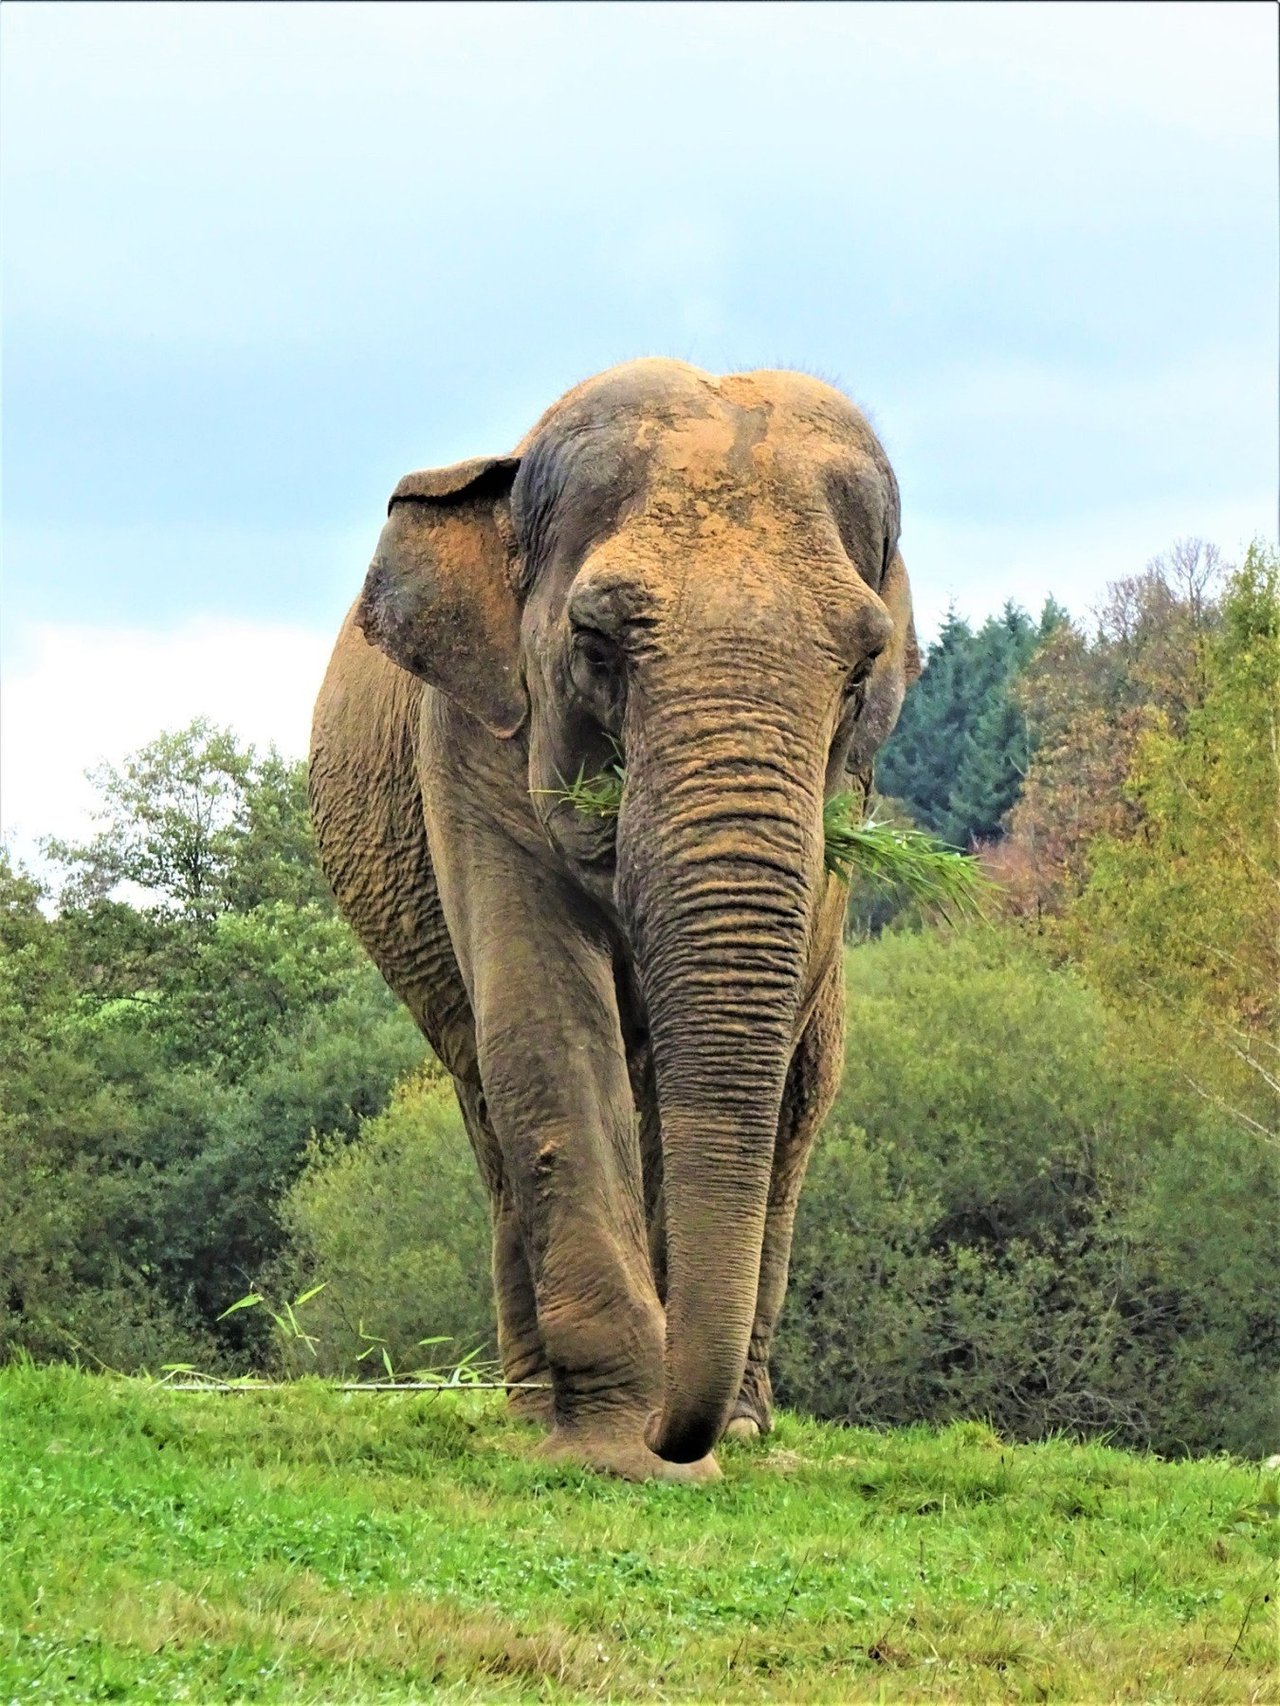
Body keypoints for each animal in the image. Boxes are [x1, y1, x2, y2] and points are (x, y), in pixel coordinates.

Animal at [317, 359, 928, 1480]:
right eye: (594, 641)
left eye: (864, 663)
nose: (677, 1436)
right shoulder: (466, 738)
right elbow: (547, 1024)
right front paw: (619, 1453)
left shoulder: (839, 806)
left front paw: (687, 1440)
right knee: (489, 1093)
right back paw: (536, 1410)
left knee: (797, 1094)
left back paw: (743, 1421)